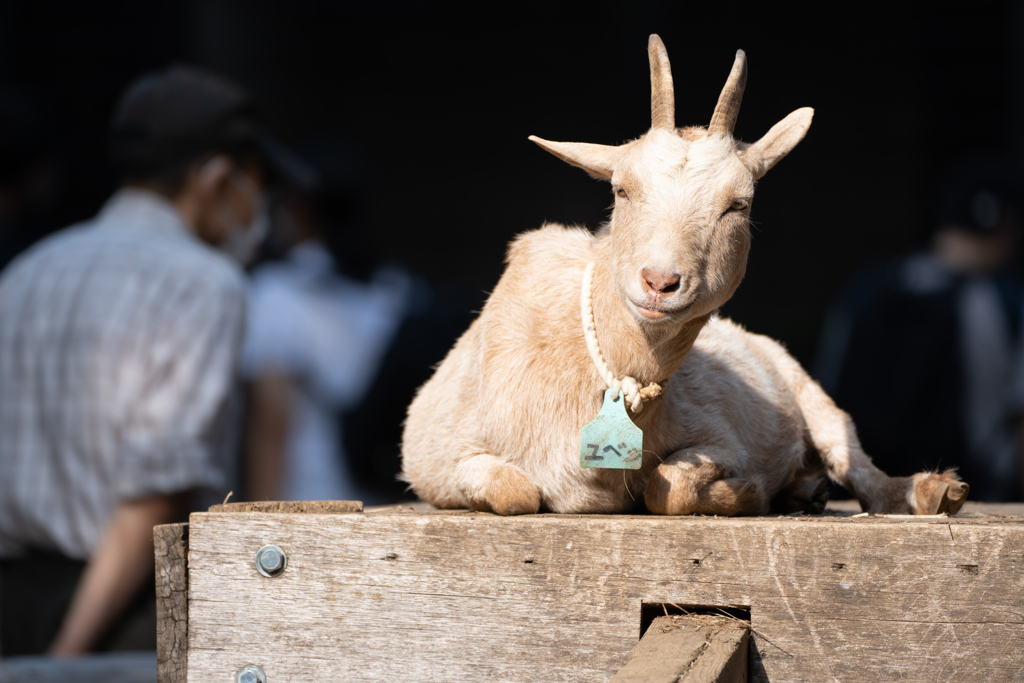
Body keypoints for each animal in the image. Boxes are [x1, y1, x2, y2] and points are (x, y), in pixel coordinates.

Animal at [399, 34, 966, 516]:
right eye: (621, 189)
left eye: (738, 205)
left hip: (807, 390)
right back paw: (809, 489)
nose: (660, 282)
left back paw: (929, 491)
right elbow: (514, 489)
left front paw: (748, 491)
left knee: (854, 459)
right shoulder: (434, 457)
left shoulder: (720, 436)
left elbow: (665, 486)